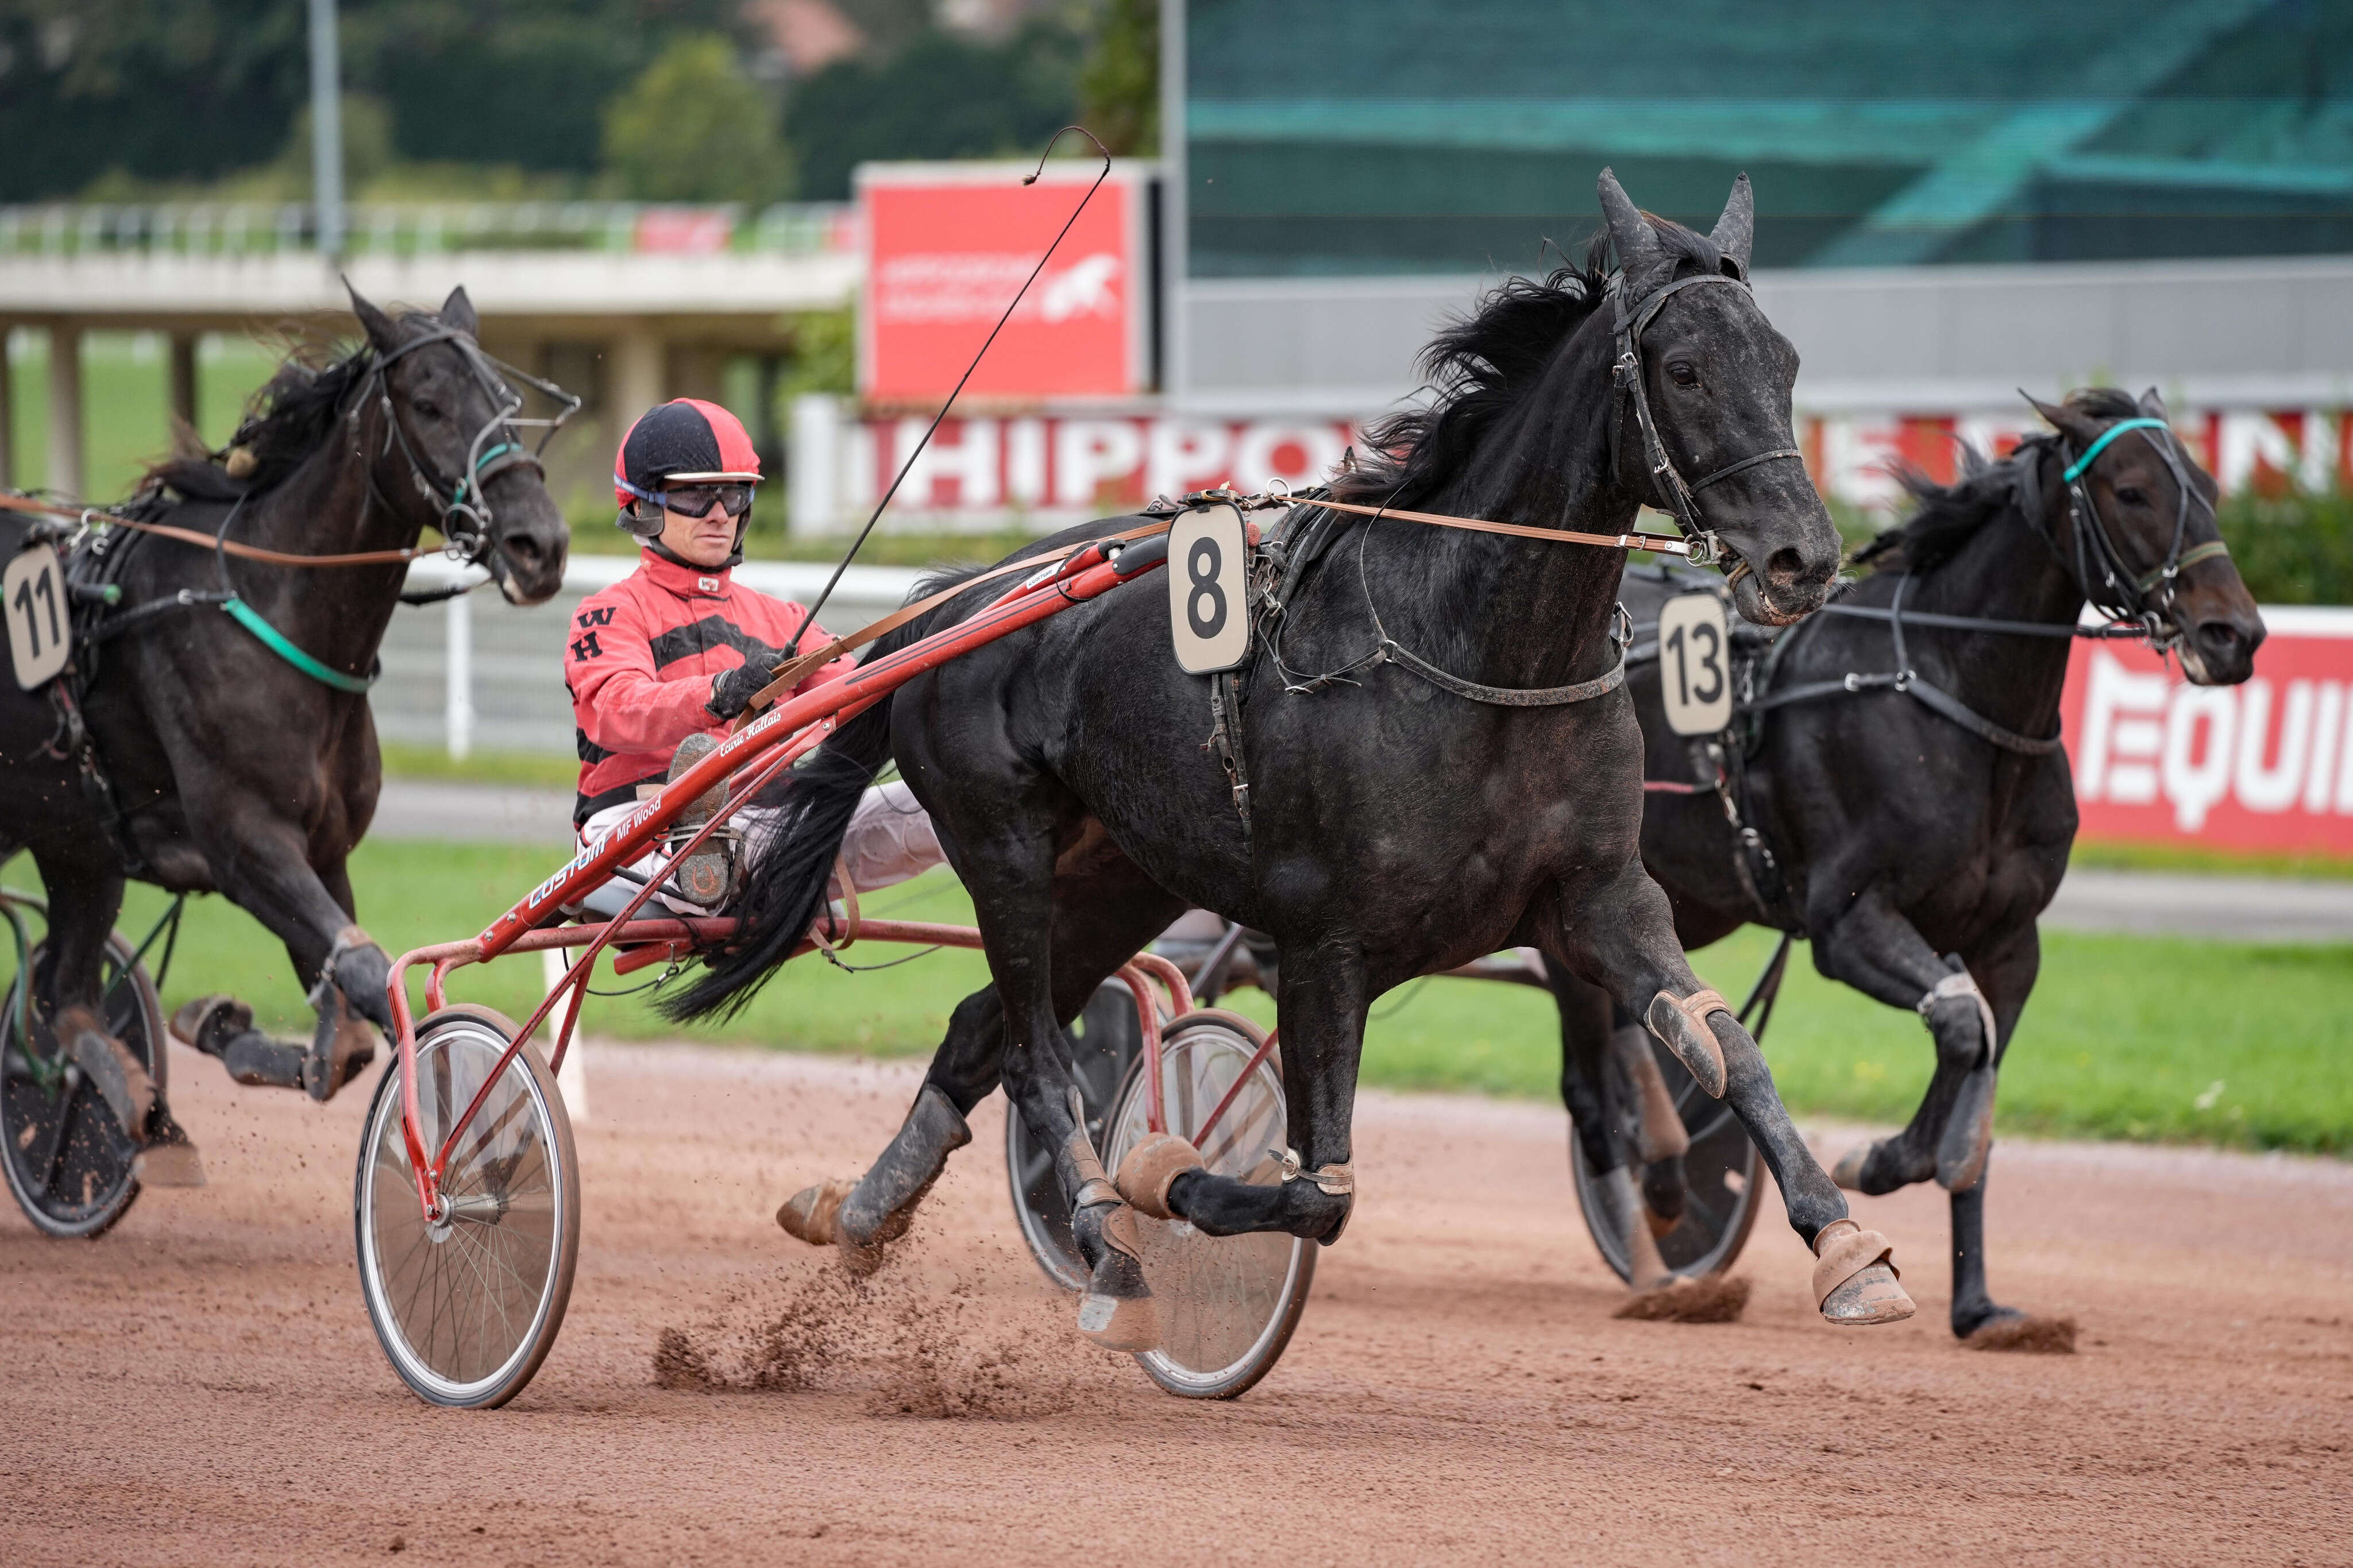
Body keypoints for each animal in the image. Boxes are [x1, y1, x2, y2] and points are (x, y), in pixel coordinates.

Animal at [673, 169, 1920, 1354]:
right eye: (1684, 368)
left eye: (1784, 361)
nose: (1803, 556)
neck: (1473, 652)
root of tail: (947, 602)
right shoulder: (1327, 938)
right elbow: (1319, 1189)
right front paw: (1159, 1174)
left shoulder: (1600, 896)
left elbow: (1723, 1050)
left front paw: (1847, 1246)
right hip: (1003, 847)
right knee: (1033, 1054)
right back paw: (1103, 1241)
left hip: (1116, 876)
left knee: (981, 1030)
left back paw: (859, 1211)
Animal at [1562, 385, 2259, 1345]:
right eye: (2131, 491)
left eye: (2208, 485)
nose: (2236, 633)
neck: (1947, 693)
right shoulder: (1849, 923)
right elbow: (1961, 1028)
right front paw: (1883, 1158)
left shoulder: (2009, 940)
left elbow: (1980, 1075)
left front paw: (1981, 1303)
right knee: (1588, 1071)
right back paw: (1654, 1236)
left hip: (1683, 897)